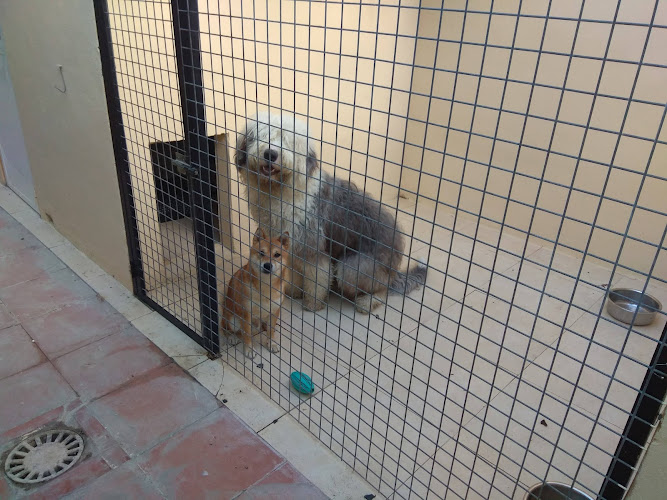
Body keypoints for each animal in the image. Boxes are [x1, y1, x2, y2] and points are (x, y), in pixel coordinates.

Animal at [222, 227, 290, 360]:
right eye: (261, 253)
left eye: (277, 255)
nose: (267, 265)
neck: (265, 288)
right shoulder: (246, 313)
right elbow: (247, 334)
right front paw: (249, 350)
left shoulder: (274, 311)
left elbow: (271, 330)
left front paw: (271, 343)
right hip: (232, 320)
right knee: (226, 329)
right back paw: (232, 337)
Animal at [236, 112, 428, 312]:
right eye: (261, 135)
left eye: (288, 141)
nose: (270, 154)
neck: (280, 189)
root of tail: (395, 268)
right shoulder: (292, 245)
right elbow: (295, 271)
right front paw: (295, 291)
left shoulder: (314, 247)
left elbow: (317, 278)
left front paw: (312, 303)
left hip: (353, 268)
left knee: (381, 288)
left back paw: (367, 302)